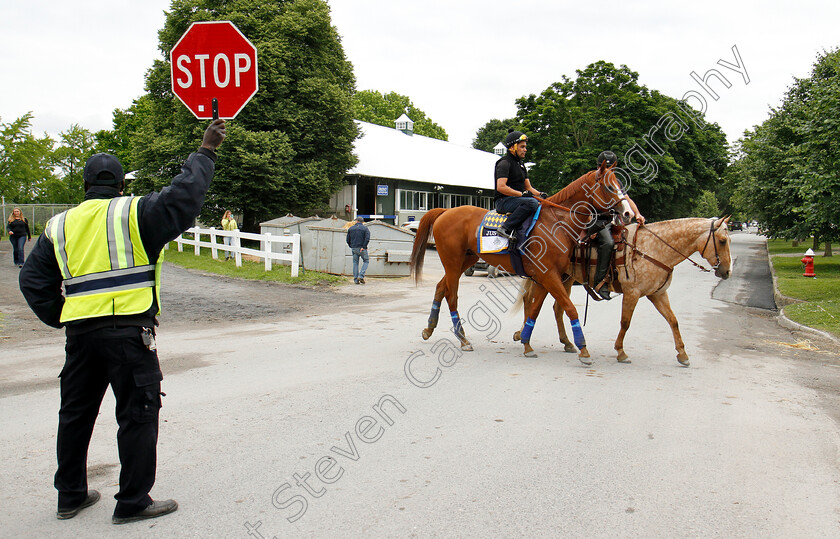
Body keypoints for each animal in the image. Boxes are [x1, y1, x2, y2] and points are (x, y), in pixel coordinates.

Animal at [410, 160, 632, 362]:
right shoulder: (549, 276)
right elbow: (569, 308)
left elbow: (535, 309)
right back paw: (463, 340)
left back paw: (430, 328)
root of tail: (446, 211)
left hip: (464, 261)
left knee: (441, 287)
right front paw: (583, 348)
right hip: (453, 262)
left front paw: (526, 342)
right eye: (610, 186)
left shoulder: (546, 277)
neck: (556, 222)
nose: (628, 212)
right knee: (452, 296)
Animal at [508, 217, 732, 364]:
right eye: (722, 241)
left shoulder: (657, 294)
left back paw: (564, 342)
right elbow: (626, 322)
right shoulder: (633, 293)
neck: (653, 248)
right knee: (533, 301)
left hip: (564, 278)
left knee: (554, 307)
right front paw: (620, 351)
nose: (727, 271)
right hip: (551, 277)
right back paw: (526, 336)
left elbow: (673, 321)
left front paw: (683, 354)